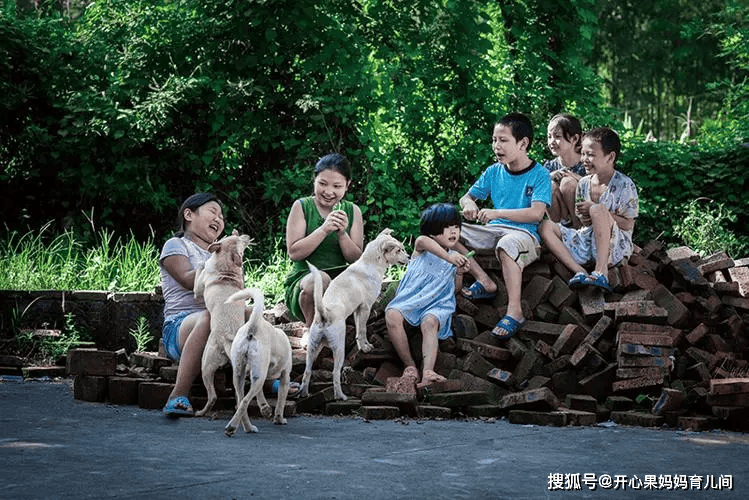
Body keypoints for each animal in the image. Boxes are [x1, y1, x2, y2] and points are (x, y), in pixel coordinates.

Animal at [191, 229, 253, 416]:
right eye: (236, 237)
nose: (247, 235)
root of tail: (227, 340)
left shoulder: (197, 289)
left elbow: (200, 269)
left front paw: (203, 261)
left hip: (205, 365)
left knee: (212, 396)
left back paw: (201, 412)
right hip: (238, 373)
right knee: (240, 396)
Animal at [221, 288, 290, 436]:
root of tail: (253, 327)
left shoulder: (255, 374)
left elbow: (259, 392)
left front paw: (265, 408)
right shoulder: (285, 376)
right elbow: (281, 401)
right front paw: (279, 419)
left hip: (239, 374)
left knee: (241, 401)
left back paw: (247, 427)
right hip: (260, 373)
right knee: (245, 401)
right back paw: (232, 427)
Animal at [296, 229, 410, 400]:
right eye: (398, 250)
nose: (409, 257)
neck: (371, 262)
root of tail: (324, 315)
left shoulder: (357, 310)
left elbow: (358, 331)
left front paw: (362, 345)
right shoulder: (365, 307)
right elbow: (362, 330)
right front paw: (366, 348)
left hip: (312, 348)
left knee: (307, 372)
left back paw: (304, 393)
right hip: (338, 349)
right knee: (335, 373)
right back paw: (340, 396)